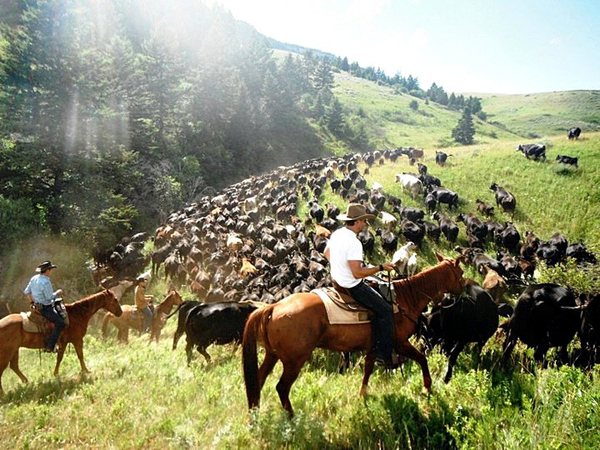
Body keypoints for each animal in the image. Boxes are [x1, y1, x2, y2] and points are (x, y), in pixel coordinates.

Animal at [241, 255, 466, 416]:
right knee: (282, 387)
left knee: (257, 381)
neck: (404, 298)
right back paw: (291, 418)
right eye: (461, 272)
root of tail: (273, 307)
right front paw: (427, 388)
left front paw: (363, 395)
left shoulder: (373, 346)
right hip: (294, 360)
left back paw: (255, 416)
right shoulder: (399, 342)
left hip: (272, 355)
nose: (465, 289)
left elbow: (368, 369)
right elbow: (422, 358)